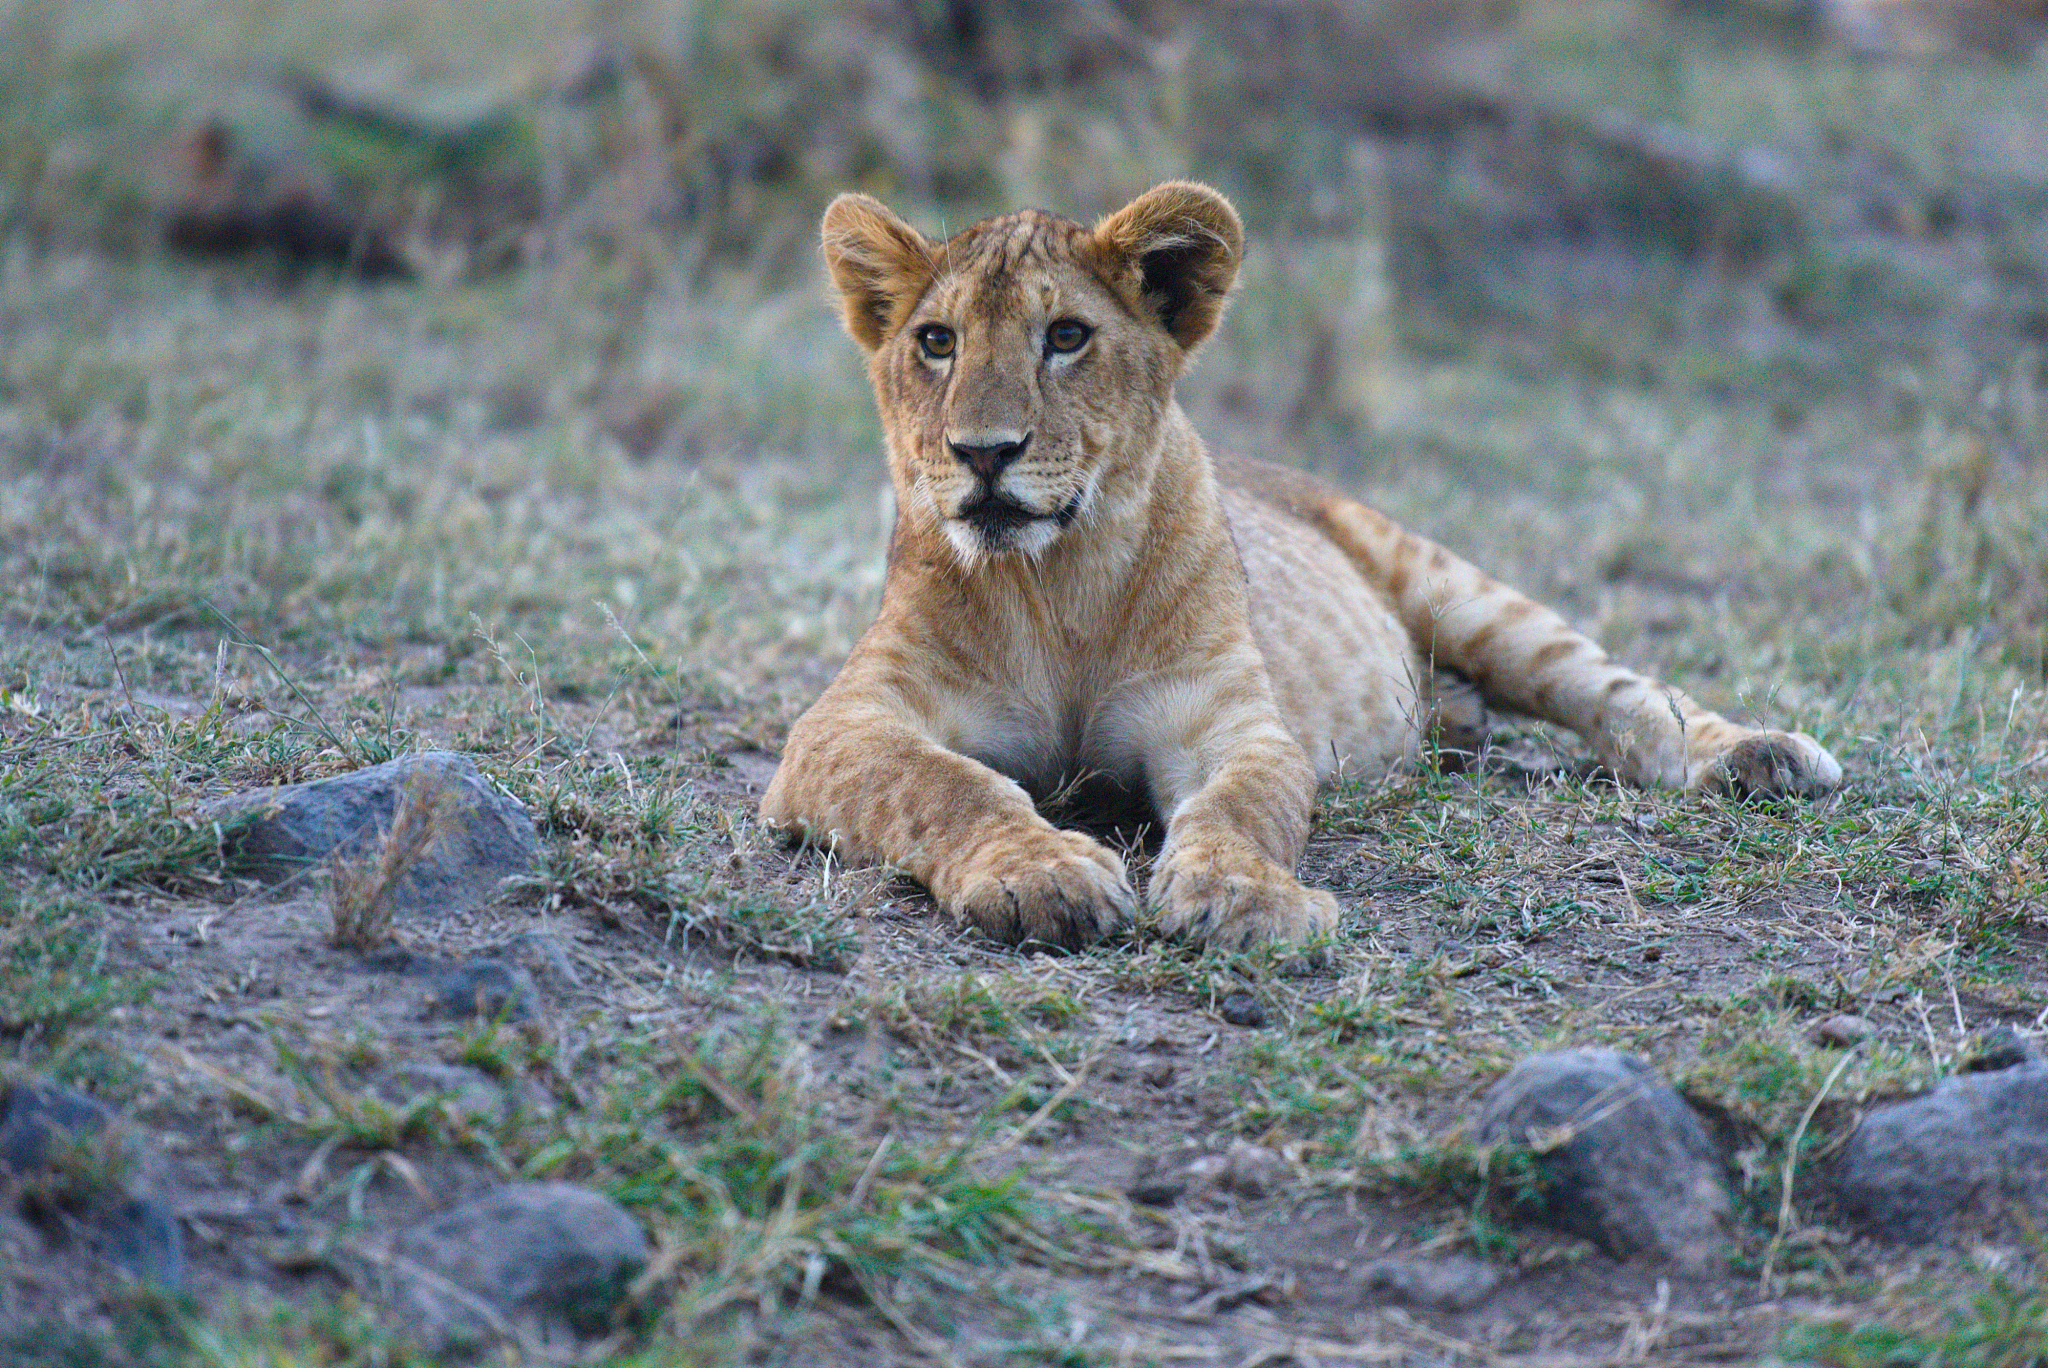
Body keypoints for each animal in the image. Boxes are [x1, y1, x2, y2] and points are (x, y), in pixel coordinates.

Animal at [760, 181, 1843, 951]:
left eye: (1065, 336)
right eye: (935, 342)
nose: (984, 453)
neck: (1055, 580)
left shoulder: (1231, 720)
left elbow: (1241, 809)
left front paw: (1239, 898)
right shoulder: (841, 725)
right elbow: (945, 783)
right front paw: (1040, 874)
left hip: (1456, 588)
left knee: (1621, 694)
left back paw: (1761, 754)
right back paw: (1454, 720)